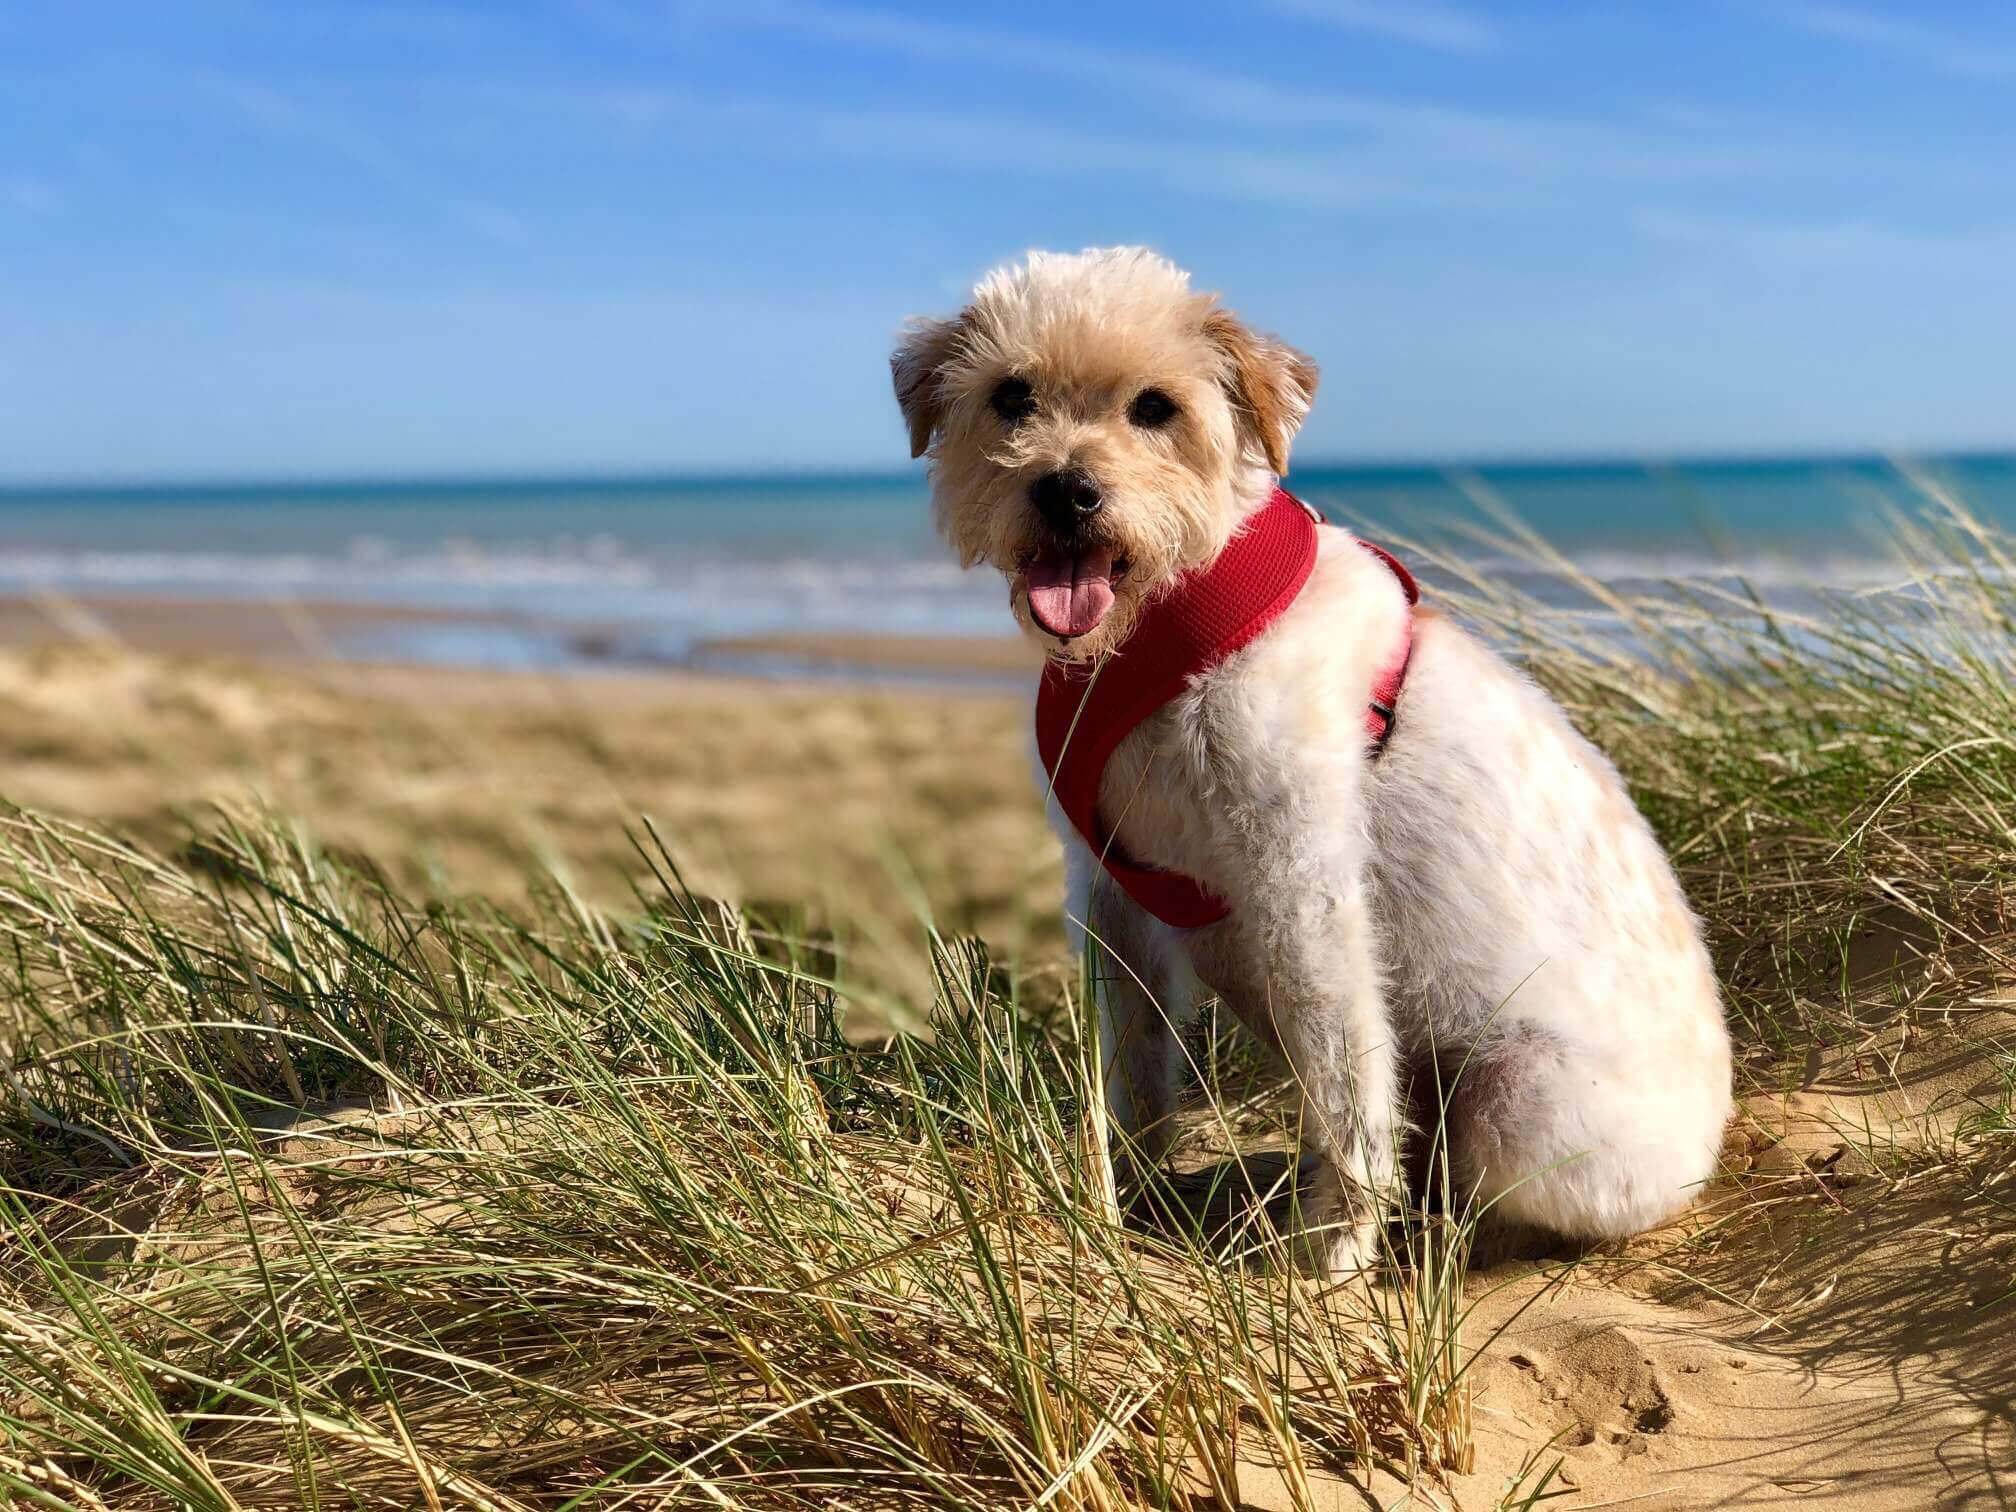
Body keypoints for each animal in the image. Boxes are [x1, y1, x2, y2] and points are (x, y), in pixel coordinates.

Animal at [895, 252, 1733, 1282]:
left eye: (1155, 407)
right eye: (1011, 395)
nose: (1065, 492)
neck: (1168, 627)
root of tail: (1712, 1142)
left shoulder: (1302, 890)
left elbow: (1344, 1088)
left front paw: (1333, 1255)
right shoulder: (1108, 890)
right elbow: (1131, 1070)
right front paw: (1124, 1202)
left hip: (1519, 1103)